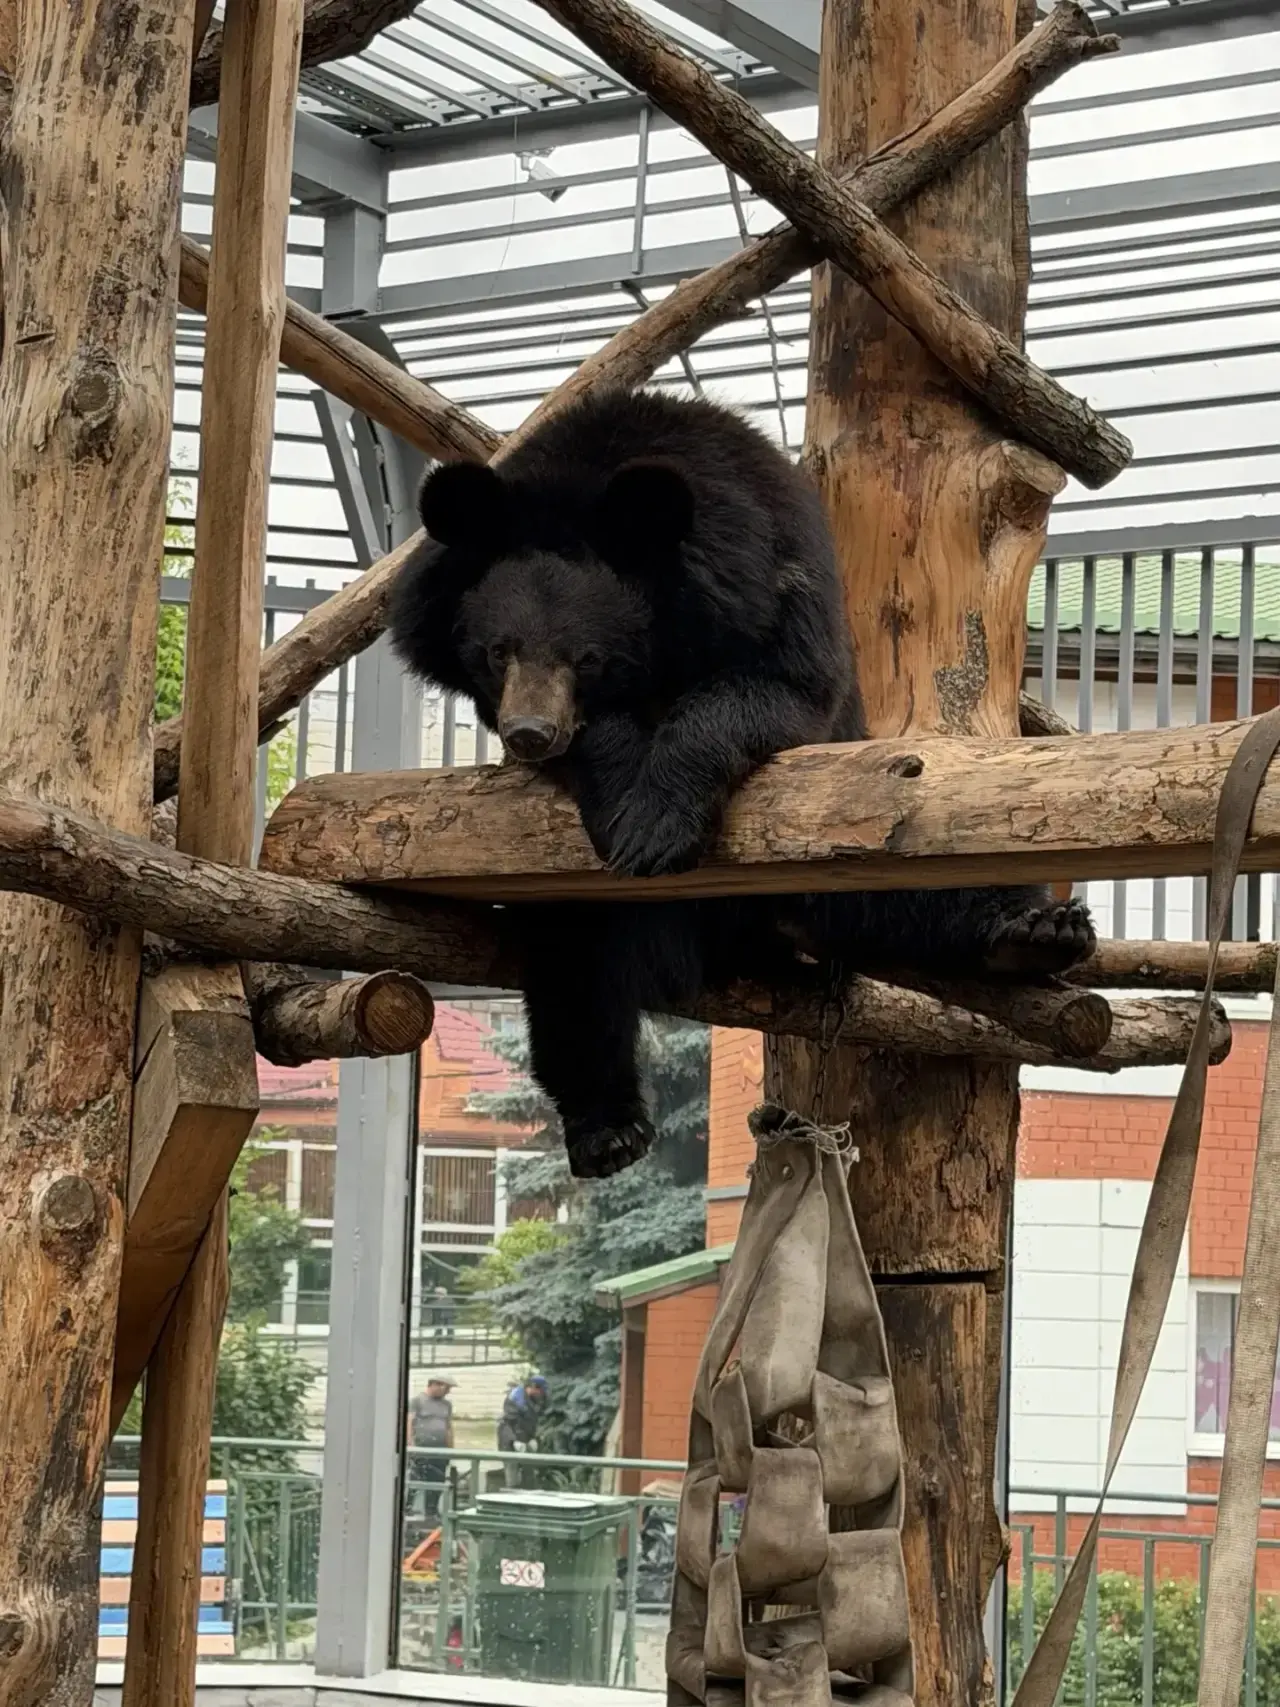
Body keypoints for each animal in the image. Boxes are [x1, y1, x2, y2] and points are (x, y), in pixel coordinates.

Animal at [389, 388, 1094, 1180]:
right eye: (496, 651)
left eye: (587, 656)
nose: (530, 732)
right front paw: (626, 813)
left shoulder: (769, 574)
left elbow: (777, 688)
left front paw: (655, 825)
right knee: (574, 970)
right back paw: (608, 1131)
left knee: (915, 886)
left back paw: (1036, 933)